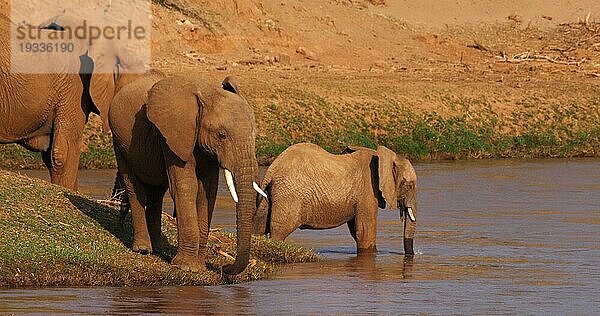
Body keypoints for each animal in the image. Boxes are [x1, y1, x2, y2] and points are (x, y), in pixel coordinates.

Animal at [108, 75, 268, 276]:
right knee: (135, 188)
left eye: (254, 135)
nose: (224, 267)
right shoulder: (174, 137)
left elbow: (207, 191)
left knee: (157, 193)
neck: (207, 93)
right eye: (221, 135)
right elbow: (186, 187)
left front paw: (199, 267)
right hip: (120, 142)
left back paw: (158, 249)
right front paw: (187, 267)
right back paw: (143, 249)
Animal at [253, 144, 418, 256]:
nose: (412, 255)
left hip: (269, 196)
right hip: (288, 197)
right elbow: (365, 232)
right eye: (409, 186)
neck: (381, 156)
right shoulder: (367, 191)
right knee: (278, 232)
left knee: (260, 228)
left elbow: (356, 231)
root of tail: (272, 169)